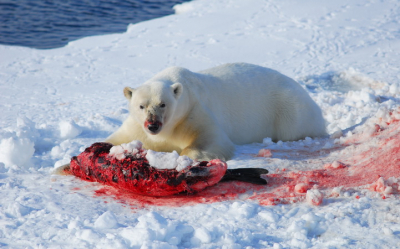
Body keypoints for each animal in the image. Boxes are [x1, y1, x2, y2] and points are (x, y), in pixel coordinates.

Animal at [104, 62, 326, 160]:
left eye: (163, 104)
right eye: (141, 106)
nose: (153, 125)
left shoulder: (193, 111)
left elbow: (211, 138)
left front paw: (190, 156)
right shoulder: (137, 125)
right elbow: (120, 137)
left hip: (289, 109)